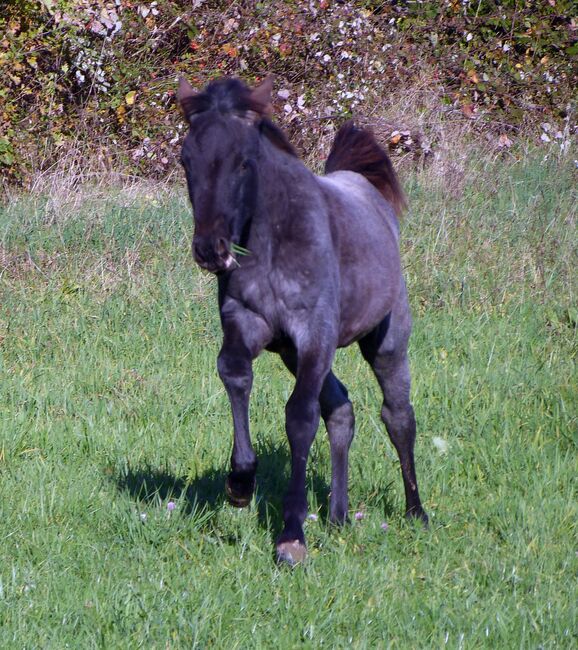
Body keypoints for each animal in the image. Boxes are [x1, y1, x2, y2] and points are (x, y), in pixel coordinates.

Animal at [178, 76, 426, 560]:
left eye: (244, 162)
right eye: (185, 159)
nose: (211, 249)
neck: (274, 241)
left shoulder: (316, 334)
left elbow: (299, 417)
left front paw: (291, 533)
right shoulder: (249, 323)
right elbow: (234, 372)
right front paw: (241, 481)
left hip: (385, 340)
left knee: (398, 416)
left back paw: (416, 512)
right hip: (294, 354)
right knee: (342, 409)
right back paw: (338, 515)